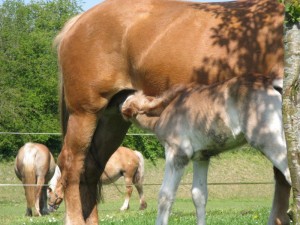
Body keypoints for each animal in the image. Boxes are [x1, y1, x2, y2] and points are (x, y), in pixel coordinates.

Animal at [120, 74, 292, 224]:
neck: (166, 110)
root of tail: (271, 83)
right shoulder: (201, 157)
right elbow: (199, 195)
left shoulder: (177, 153)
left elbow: (165, 195)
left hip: (270, 141)